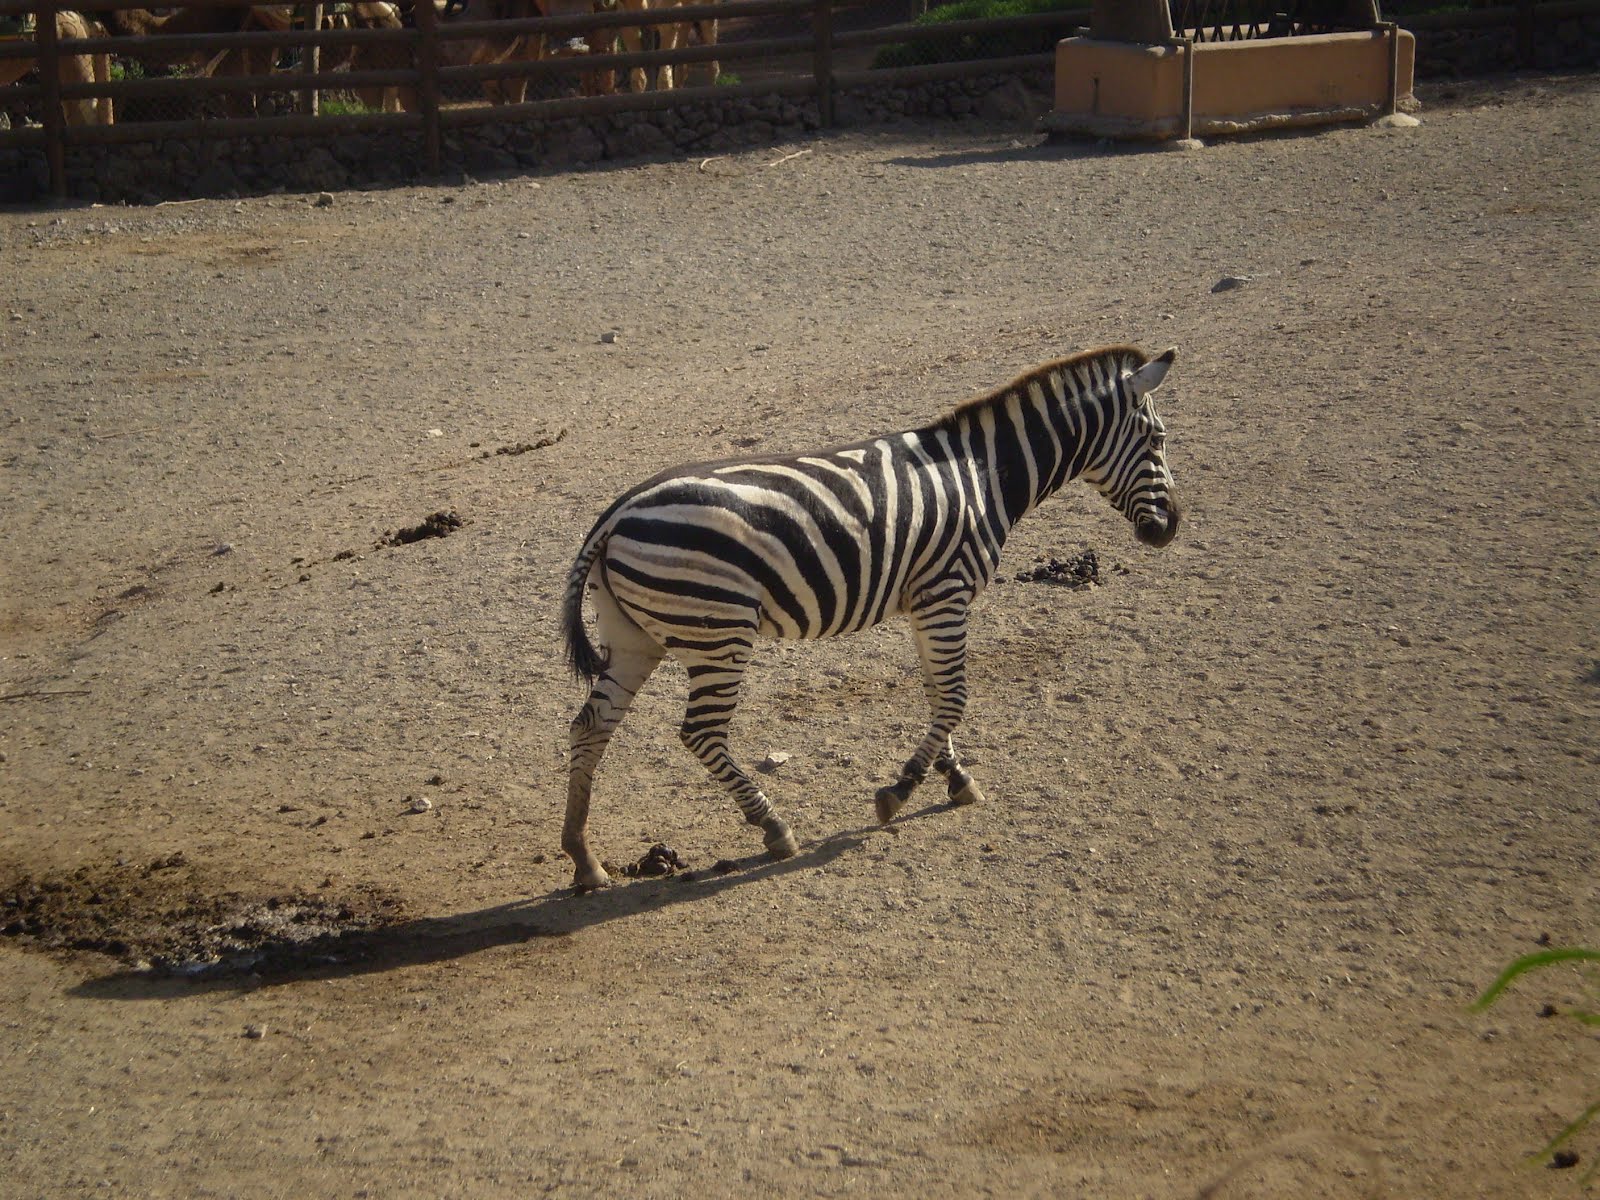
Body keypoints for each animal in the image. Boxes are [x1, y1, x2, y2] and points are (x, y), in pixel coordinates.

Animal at [559, 343, 1182, 890]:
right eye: (1158, 439)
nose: (1170, 529)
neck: (985, 475)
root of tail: (615, 514)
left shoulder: (927, 602)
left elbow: (938, 693)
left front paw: (954, 779)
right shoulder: (946, 591)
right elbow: (954, 697)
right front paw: (899, 791)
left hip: (635, 637)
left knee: (591, 726)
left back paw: (584, 860)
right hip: (719, 632)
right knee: (700, 733)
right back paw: (774, 827)